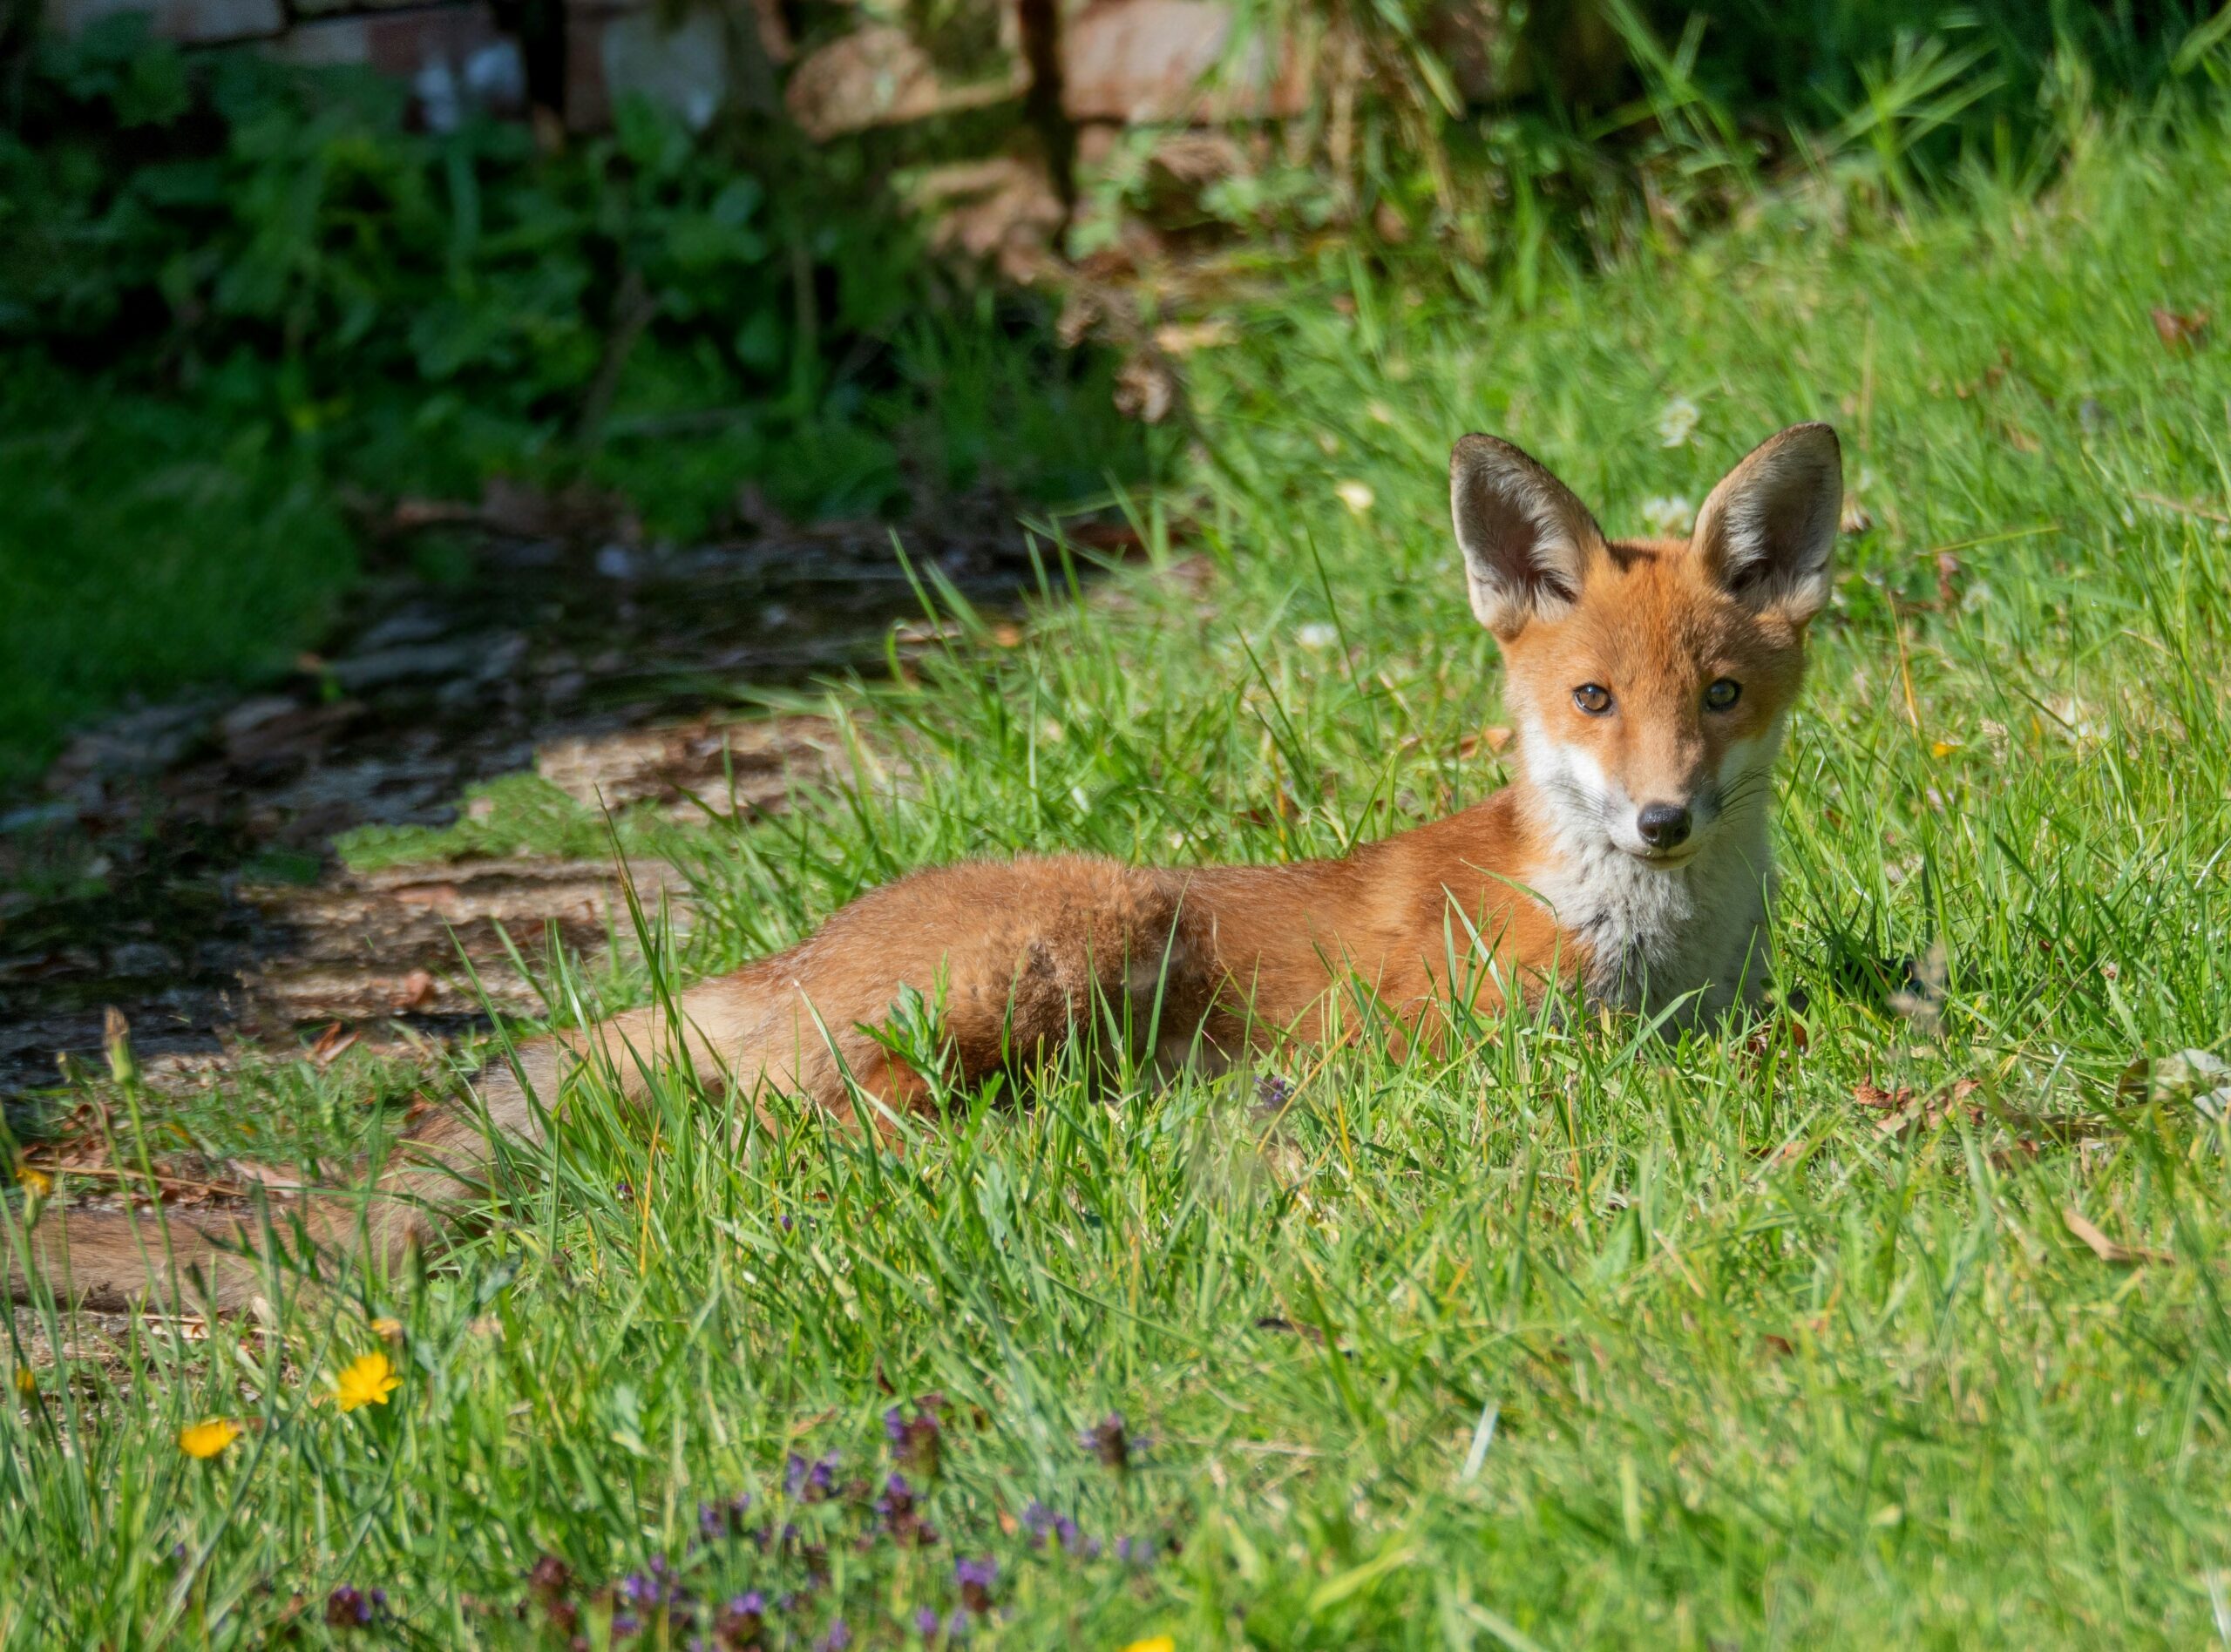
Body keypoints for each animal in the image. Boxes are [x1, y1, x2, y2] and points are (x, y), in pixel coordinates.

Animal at [11, 423, 1841, 1313]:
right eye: (1594, 702)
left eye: (1719, 697)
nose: (1666, 818)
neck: (1654, 945)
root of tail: (780, 951)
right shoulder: (1489, 1042)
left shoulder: (1723, 1009)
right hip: (1074, 927)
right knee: (804, 1115)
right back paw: (1086, 1132)